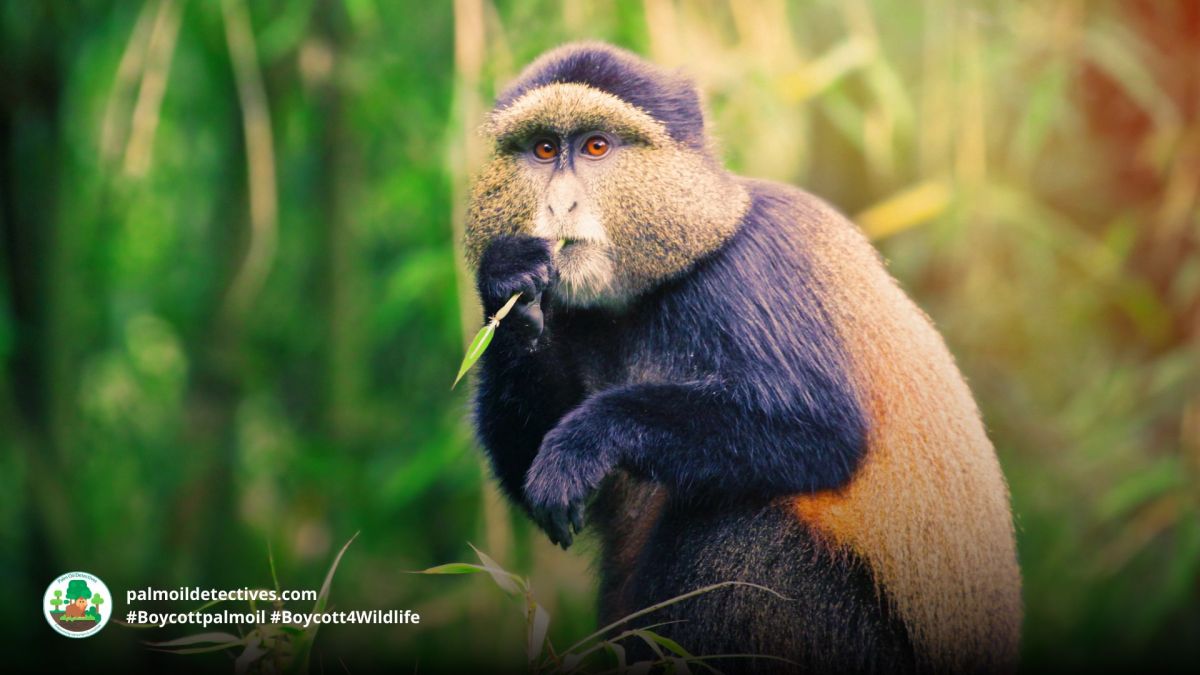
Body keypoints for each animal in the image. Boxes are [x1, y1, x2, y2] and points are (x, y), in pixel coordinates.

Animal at [464, 42, 1022, 674]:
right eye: (543, 149)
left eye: (596, 147)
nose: (560, 204)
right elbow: (525, 461)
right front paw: (506, 282)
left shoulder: (751, 272)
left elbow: (822, 431)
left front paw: (586, 440)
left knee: (738, 523)